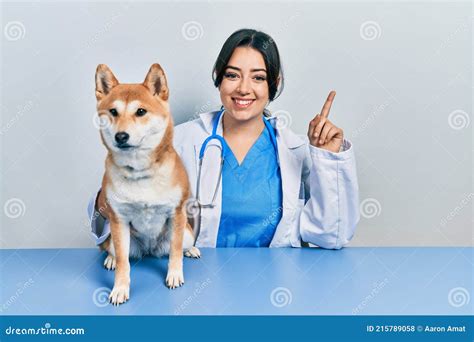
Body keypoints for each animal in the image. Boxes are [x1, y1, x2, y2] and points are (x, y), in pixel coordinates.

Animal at [94, 63, 200, 304]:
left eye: (140, 112)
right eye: (113, 112)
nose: (121, 136)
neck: (140, 173)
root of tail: (150, 250)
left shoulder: (176, 214)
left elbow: (175, 251)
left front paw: (175, 274)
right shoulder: (118, 219)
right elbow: (123, 262)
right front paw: (120, 288)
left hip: (187, 233)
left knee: (181, 245)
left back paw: (191, 251)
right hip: (115, 237)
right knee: (113, 250)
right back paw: (110, 259)